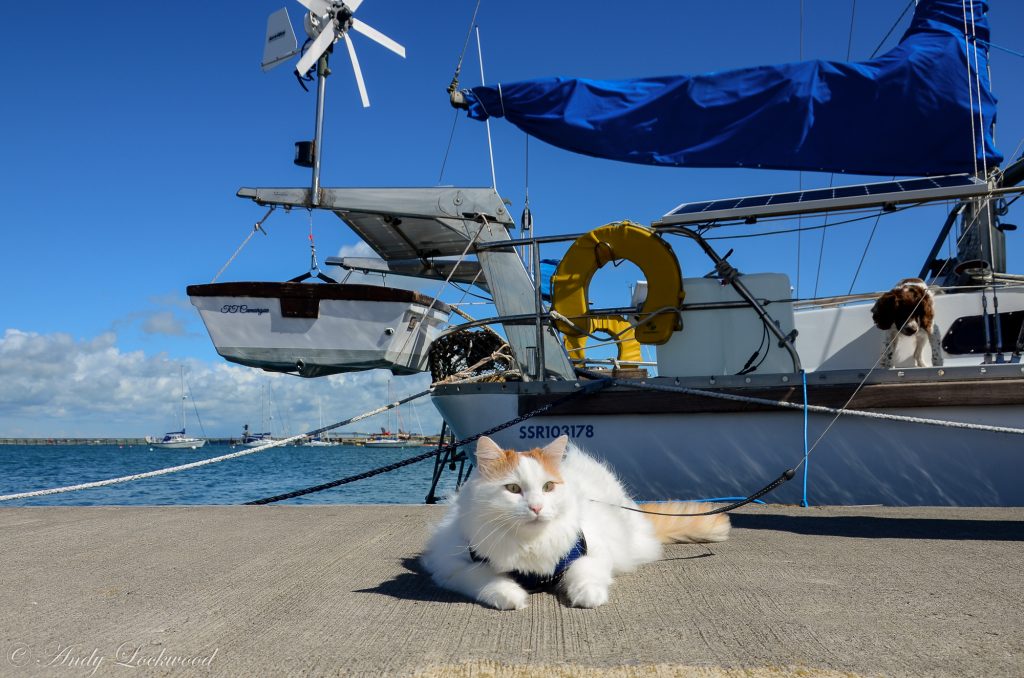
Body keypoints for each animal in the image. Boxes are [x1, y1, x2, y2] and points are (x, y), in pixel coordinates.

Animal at [419, 438, 733, 614]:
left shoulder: (590, 551)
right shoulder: (454, 566)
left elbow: (585, 574)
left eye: (548, 487)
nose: (536, 507)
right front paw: (511, 596)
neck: (531, 543)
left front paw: (589, 596)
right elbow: (488, 579)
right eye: (513, 489)